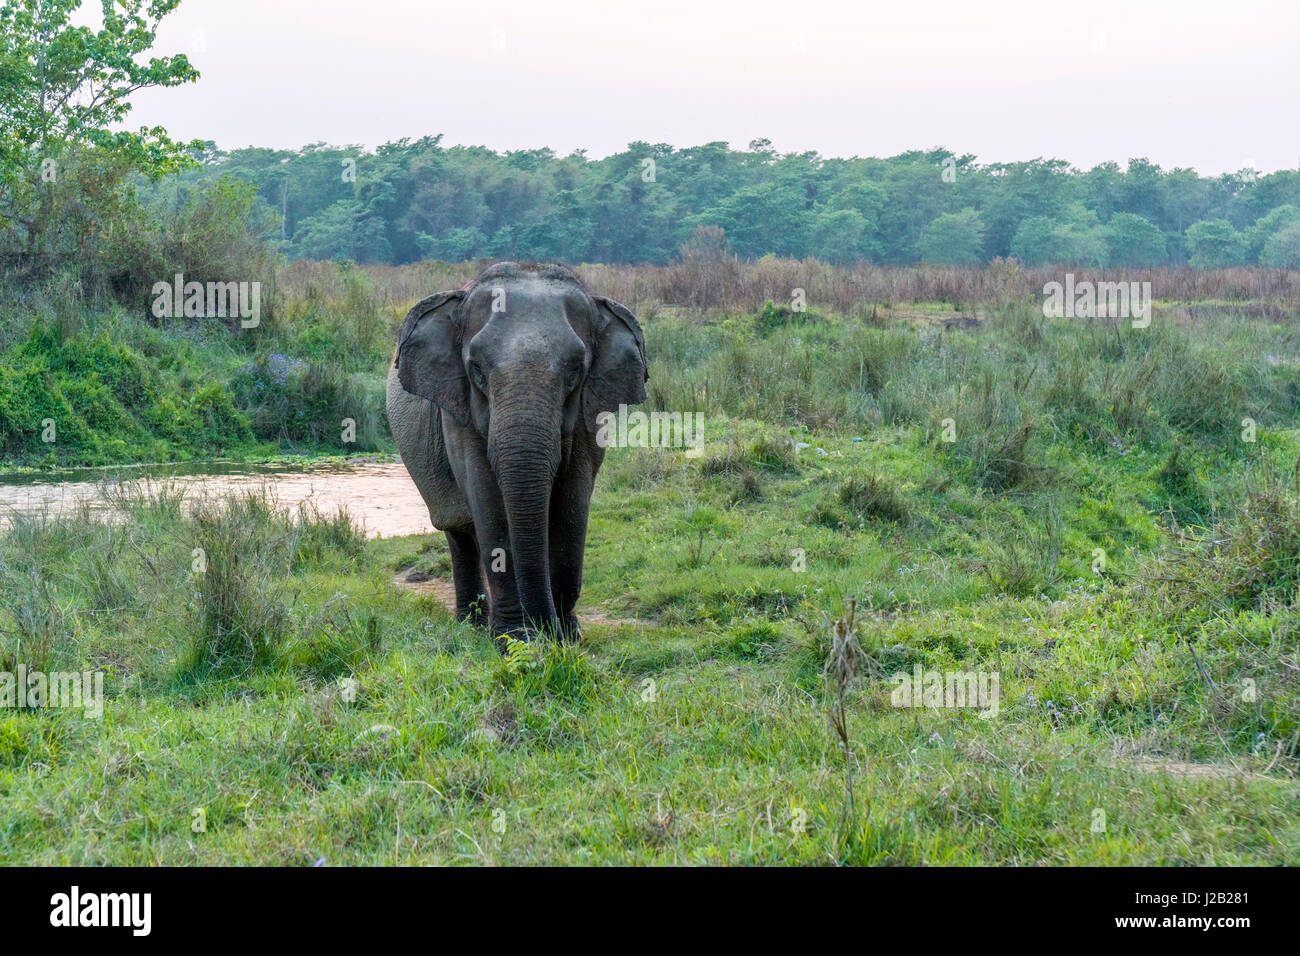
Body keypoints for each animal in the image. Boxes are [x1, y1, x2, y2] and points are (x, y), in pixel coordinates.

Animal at [384, 264, 650, 642]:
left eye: (575, 371)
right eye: (477, 370)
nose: (547, 632)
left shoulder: (591, 412)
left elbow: (573, 501)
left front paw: (567, 637)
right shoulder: (458, 411)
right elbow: (489, 503)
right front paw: (514, 641)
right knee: (459, 531)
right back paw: (472, 628)